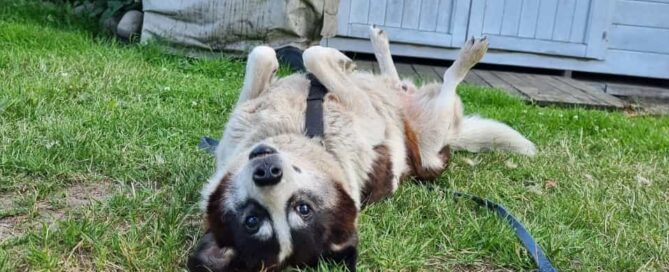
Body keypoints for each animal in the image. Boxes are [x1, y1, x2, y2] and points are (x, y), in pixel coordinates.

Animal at [188, 26, 536, 272]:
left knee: (403, 80)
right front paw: (334, 60)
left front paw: (336, 60)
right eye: (253, 221)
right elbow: (299, 56)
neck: (302, 133)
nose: (267, 171)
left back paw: (382, 45)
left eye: (302, 208)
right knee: (449, 80)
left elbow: (270, 54)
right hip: (434, 129)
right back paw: (469, 53)